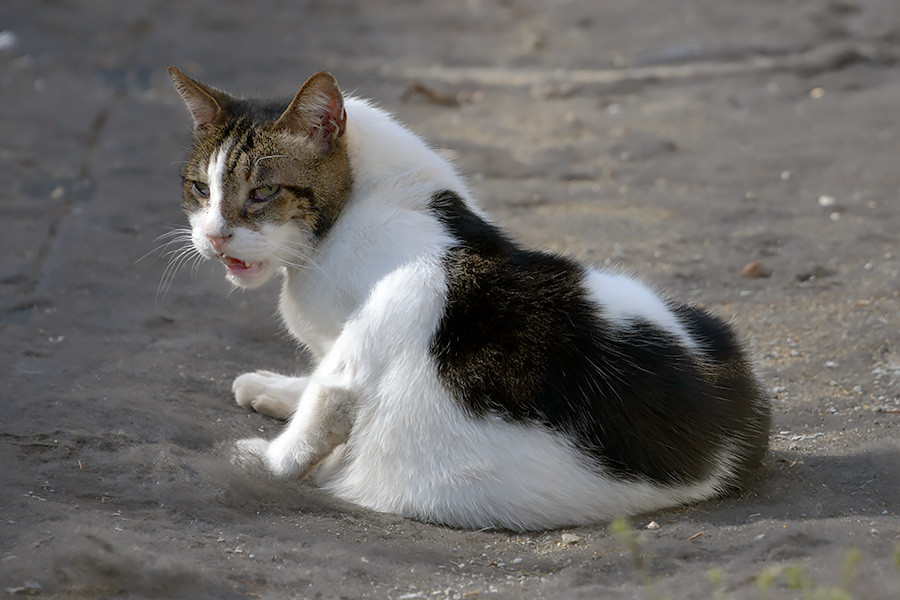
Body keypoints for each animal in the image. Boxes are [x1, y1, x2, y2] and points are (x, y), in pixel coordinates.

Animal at [167, 68, 768, 532]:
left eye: (263, 192)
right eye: (200, 189)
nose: (214, 235)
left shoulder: (404, 294)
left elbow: (326, 399)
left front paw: (267, 454)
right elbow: (316, 378)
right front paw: (274, 389)